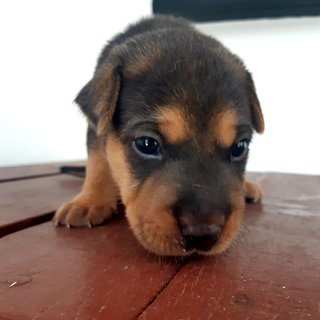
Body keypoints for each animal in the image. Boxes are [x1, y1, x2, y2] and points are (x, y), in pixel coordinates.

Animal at [55, 15, 264, 256]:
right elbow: (98, 164)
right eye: (146, 144)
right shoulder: (96, 130)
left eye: (240, 147)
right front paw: (88, 201)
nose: (203, 234)